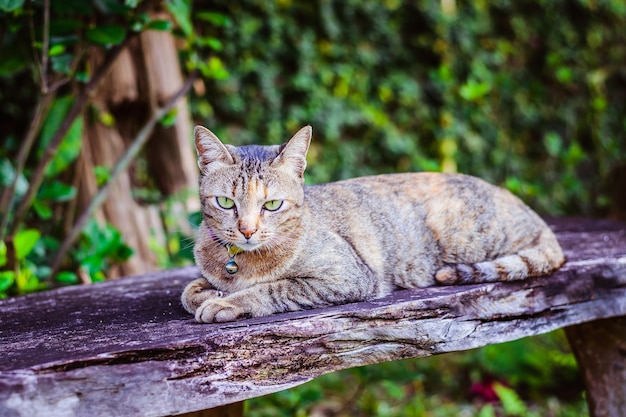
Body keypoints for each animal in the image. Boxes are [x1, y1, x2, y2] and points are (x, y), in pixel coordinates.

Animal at [179, 126, 560, 322]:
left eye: (271, 205)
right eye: (226, 202)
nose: (247, 230)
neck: (240, 265)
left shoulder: (345, 277)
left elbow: (272, 288)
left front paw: (225, 303)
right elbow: (189, 291)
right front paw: (209, 293)